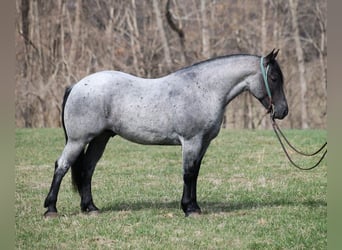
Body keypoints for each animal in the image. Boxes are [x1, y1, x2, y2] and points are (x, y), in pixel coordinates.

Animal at [44, 48, 288, 217]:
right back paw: (50, 209)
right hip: (78, 140)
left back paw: (91, 208)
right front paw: (189, 209)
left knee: (87, 170)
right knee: (62, 166)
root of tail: (76, 86)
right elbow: (188, 173)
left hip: (99, 139)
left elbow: (195, 173)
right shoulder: (191, 141)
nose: (283, 111)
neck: (204, 90)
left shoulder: (203, 143)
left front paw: (193, 206)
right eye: (274, 78)